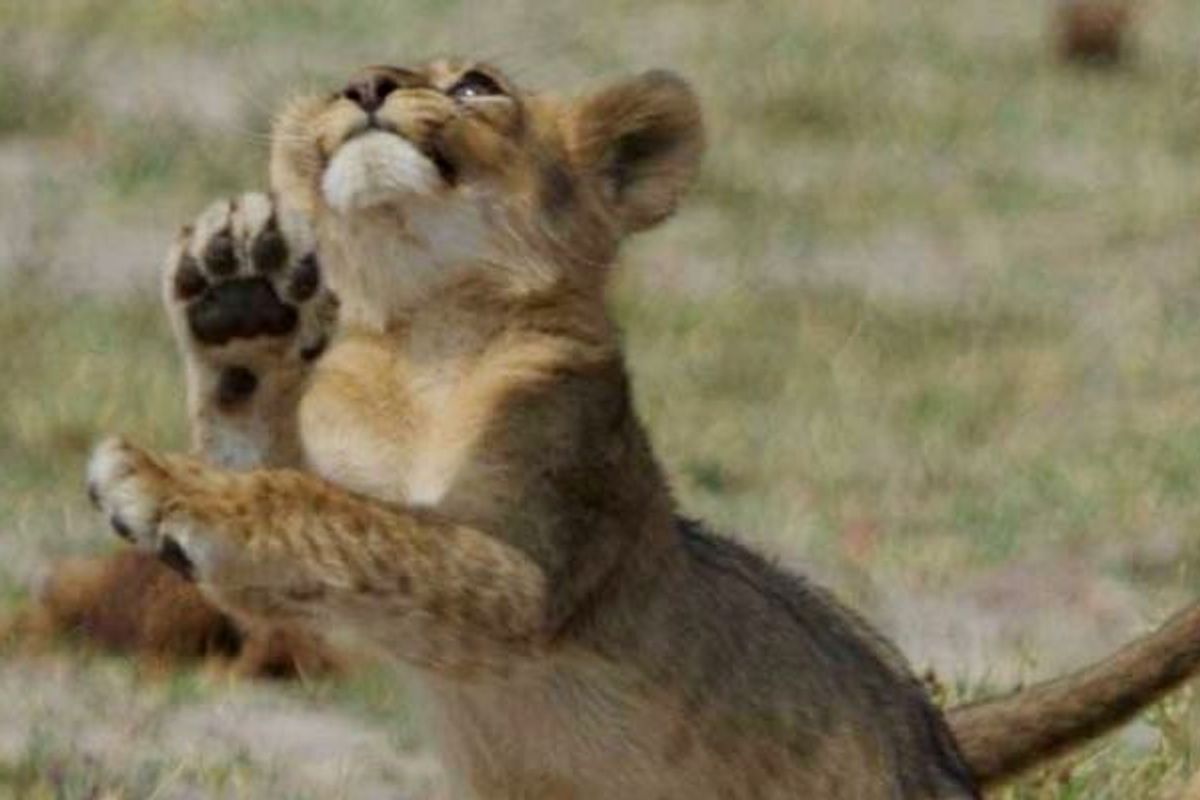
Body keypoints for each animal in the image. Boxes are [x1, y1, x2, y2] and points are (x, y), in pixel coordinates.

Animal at [31, 60, 1200, 797]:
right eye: (344, 79)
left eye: (475, 85)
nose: (365, 90)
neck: (426, 338)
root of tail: (937, 732)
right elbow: (298, 489)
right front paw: (238, 293)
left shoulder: (528, 570)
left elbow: (341, 517)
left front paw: (162, 483)